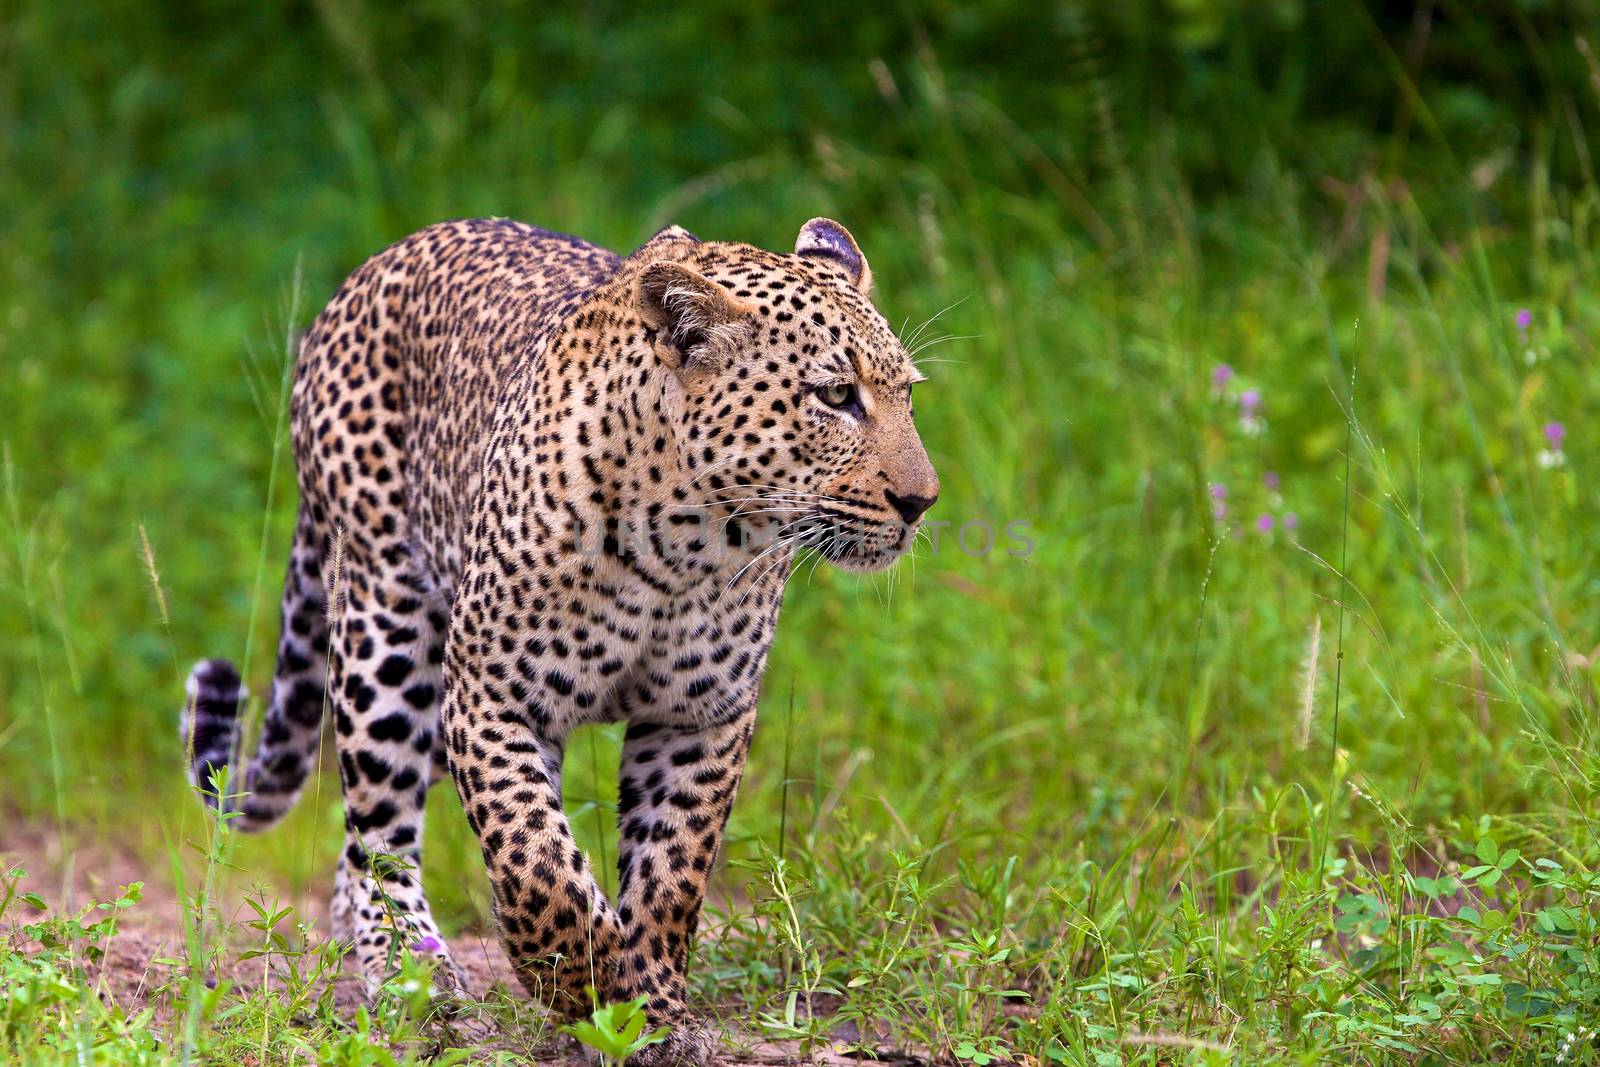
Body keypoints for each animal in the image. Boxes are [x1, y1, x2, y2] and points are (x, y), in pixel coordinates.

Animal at [180, 217, 934, 1067]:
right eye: (836, 395)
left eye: (907, 394)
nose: (922, 501)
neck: (686, 543)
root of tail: (373, 267)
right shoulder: (493, 698)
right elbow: (534, 858)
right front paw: (580, 983)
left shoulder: (699, 718)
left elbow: (672, 875)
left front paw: (653, 1008)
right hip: (389, 631)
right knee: (380, 822)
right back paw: (412, 972)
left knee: (356, 840)